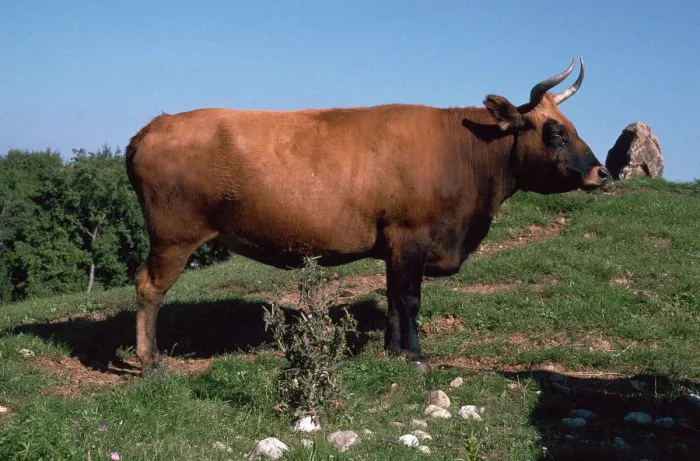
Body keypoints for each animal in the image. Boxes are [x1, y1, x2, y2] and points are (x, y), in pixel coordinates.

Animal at [126, 57, 609, 374]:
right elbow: (410, 299)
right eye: (555, 132)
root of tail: (153, 126)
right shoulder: (410, 237)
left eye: (571, 126)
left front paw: (394, 349)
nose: (601, 172)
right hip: (173, 236)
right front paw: (416, 356)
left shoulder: (394, 246)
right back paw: (150, 362)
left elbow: (394, 299)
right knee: (148, 287)